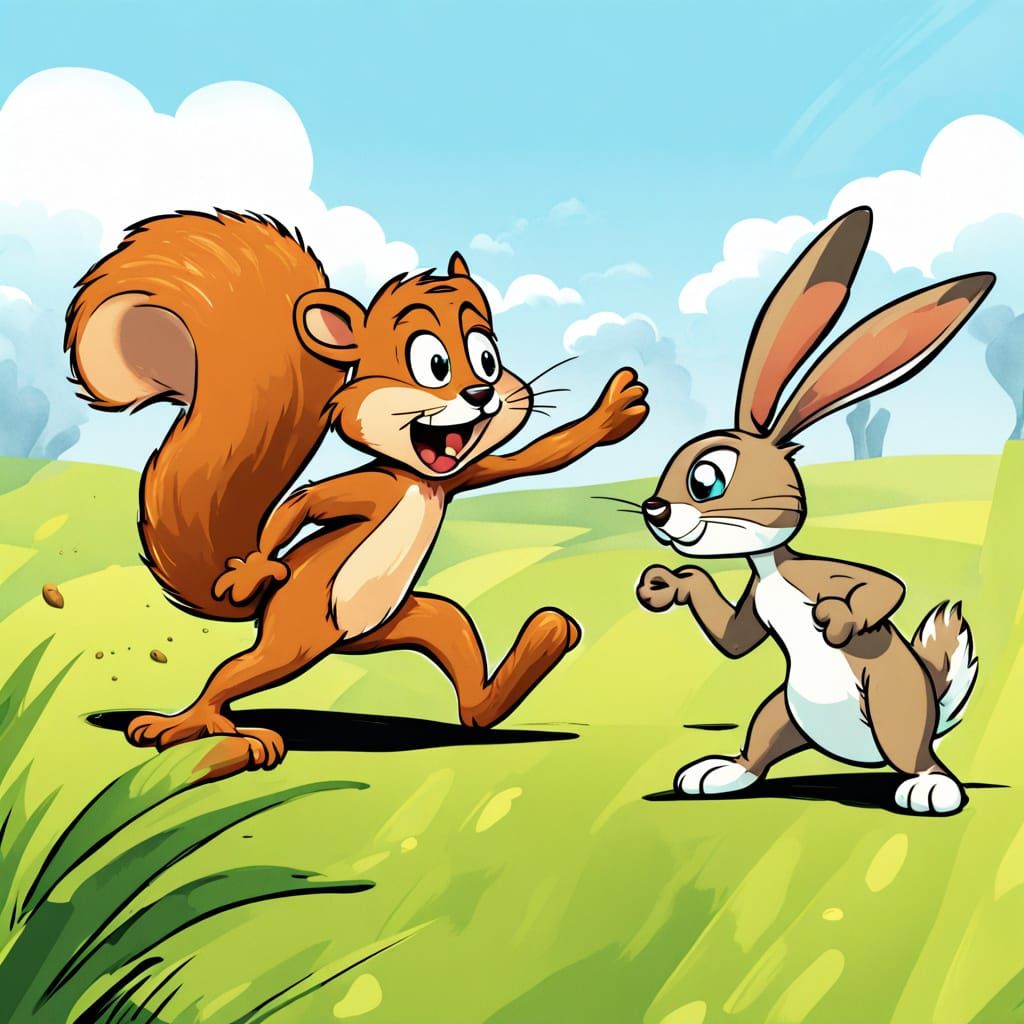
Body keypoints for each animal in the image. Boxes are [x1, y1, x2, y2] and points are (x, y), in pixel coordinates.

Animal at [66, 210, 649, 778]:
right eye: (433, 363)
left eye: (487, 356)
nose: (482, 392)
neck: (420, 479)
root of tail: (344, 640)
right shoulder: (373, 488)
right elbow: (304, 502)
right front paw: (254, 568)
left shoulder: (459, 476)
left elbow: (531, 458)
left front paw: (611, 415)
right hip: (296, 634)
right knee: (235, 674)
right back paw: (196, 724)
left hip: (415, 619)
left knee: (463, 668)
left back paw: (537, 649)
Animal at [636, 206, 993, 816]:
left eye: (707, 479)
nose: (654, 510)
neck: (771, 569)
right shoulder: (755, 602)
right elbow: (734, 642)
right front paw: (675, 583)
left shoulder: (822, 573)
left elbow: (886, 586)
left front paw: (840, 619)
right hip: (783, 711)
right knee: (762, 742)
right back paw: (722, 772)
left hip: (893, 707)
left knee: (917, 754)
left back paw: (931, 786)